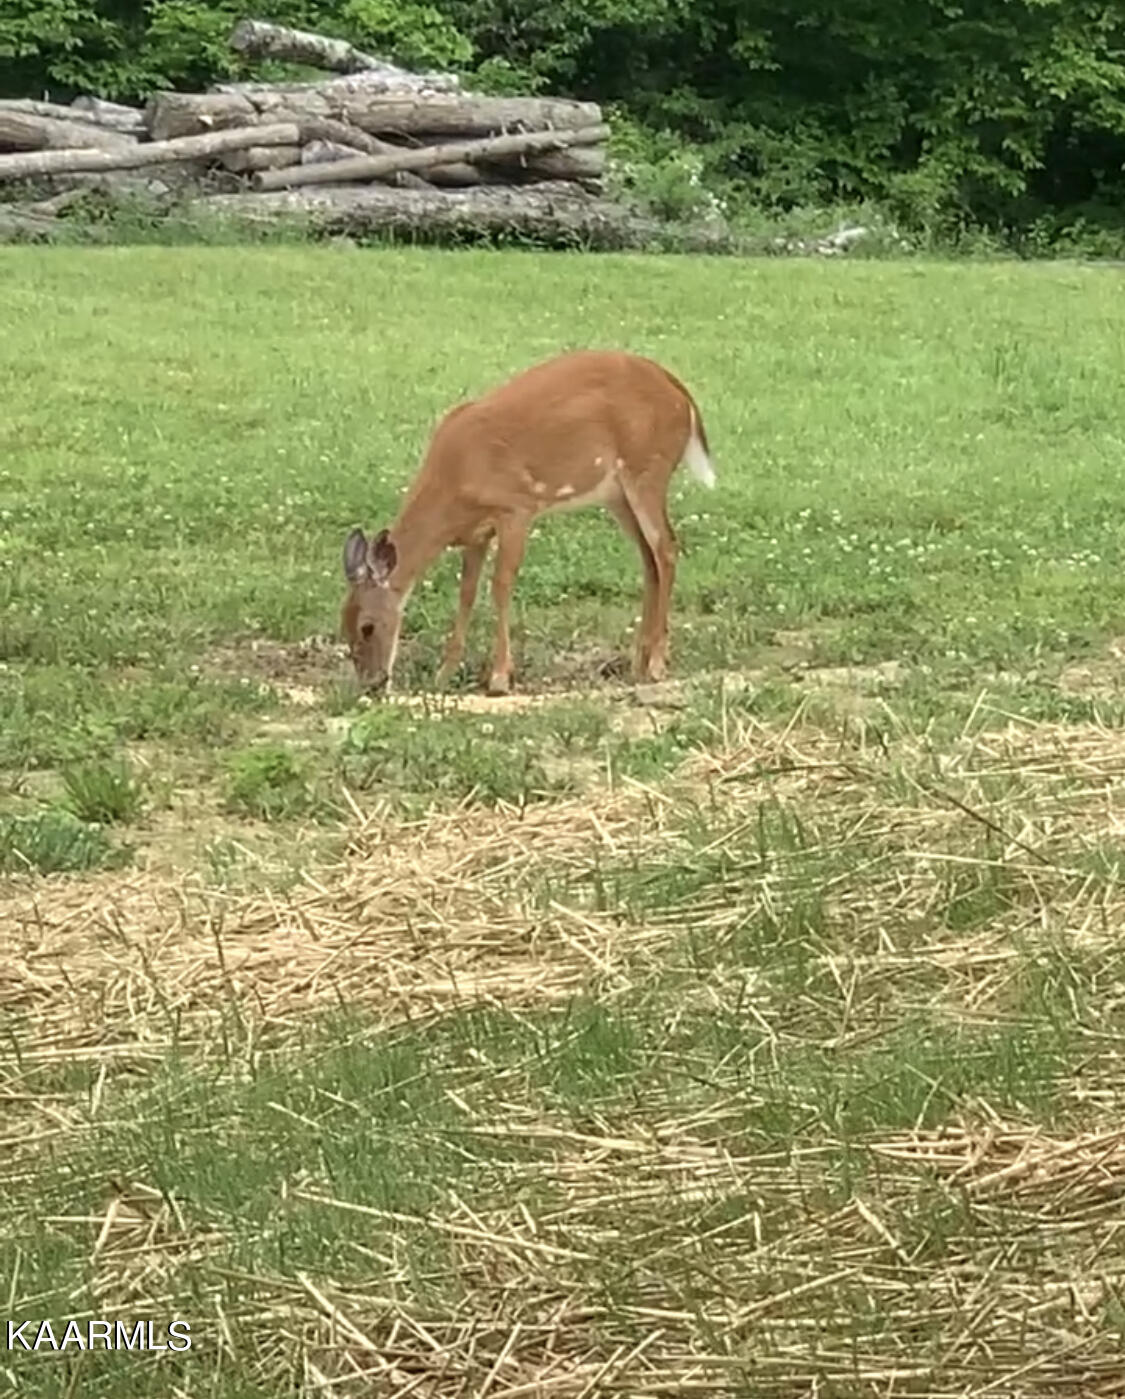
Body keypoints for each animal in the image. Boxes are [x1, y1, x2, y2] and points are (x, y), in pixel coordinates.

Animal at [340, 348, 715, 696]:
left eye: (367, 627)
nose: (372, 685)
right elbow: (466, 594)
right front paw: (444, 674)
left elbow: (501, 585)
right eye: (343, 625)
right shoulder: (477, 533)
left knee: (666, 549)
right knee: (649, 559)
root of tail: (681, 393)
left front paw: (500, 677)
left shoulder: (516, 508)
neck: (455, 479)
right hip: (616, 494)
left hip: (648, 469)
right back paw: (637, 661)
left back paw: (657, 664)